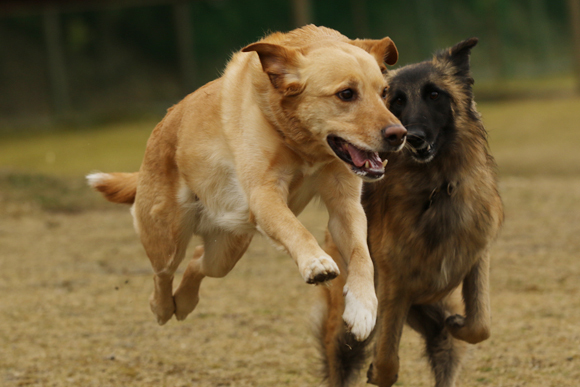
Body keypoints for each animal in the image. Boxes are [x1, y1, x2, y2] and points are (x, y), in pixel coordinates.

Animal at [89, 24, 408, 342]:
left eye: (384, 92)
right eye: (346, 94)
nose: (399, 134)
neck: (303, 144)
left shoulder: (345, 205)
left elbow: (361, 254)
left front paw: (363, 309)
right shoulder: (263, 194)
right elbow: (296, 228)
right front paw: (316, 262)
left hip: (227, 248)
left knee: (197, 261)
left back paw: (185, 302)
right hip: (167, 237)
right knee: (163, 274)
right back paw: (162, 307)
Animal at [318, 38, 502, 387]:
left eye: (434, 95)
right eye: (398, 101)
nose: (411, 136)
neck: (436, 188)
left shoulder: (477, 257)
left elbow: (480, 324)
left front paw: (460, 323)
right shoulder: (393, 286)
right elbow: (387, 359)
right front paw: (379, 371)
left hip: (437, 327)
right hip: (347, 332)